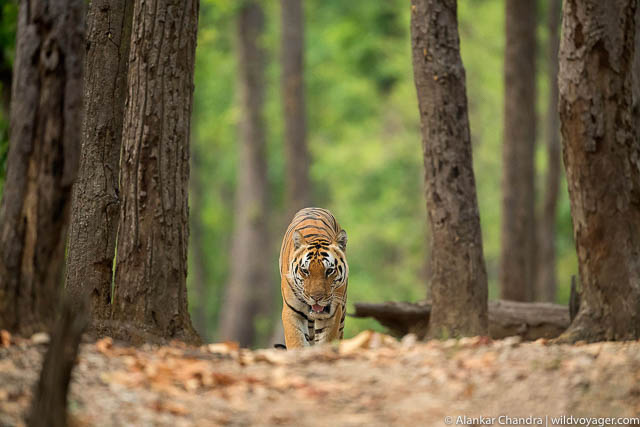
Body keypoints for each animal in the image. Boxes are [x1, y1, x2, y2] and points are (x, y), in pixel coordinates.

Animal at [278, 208, 350, 352]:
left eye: (329, 270)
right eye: (305, 271)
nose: (316, 298)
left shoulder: (332, 313)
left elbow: (326, 341)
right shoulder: (291, 311)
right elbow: (296, 342)